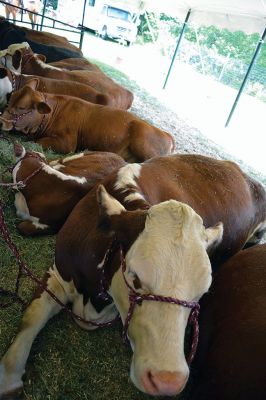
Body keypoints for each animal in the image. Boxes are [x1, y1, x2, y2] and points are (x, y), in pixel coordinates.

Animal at [0, 82, 175, 160]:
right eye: (10, 100)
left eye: (22, 107)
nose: (1, 121)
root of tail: (167, 134)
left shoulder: (67, 142)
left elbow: (39, 142)